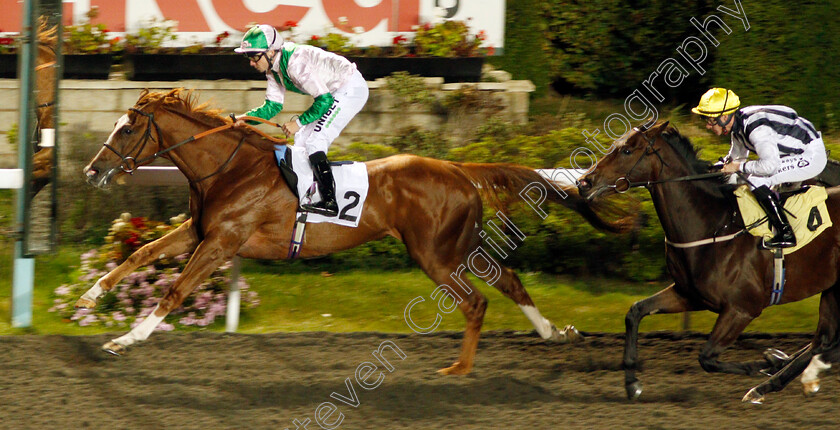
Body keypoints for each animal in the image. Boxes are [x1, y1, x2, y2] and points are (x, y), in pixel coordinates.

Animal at [80, 89, 632, 374]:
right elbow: (142, 254)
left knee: (476, 302)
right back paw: (553, 331)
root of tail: (458, 169)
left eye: (126, 129)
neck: (231, 168)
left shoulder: (222, 242)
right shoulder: (200, 232)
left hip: (433, 254)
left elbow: (173, 292)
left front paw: (125, 340)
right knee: (510, 281)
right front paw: (92, 294)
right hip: (458, 247)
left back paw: (458, 370)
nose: (91, 171)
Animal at [580, 122, 840, 404]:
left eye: (627, 150)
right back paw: (777, 374)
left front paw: (761, 366)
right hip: (832, 288)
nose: (584, 182)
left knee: (824, 341)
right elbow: (635, 311)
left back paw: (767, 381)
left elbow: (706, 358)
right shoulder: (689, 295)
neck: (713, 225)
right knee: (823, 340)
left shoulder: (742, 308)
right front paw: (631, 382)